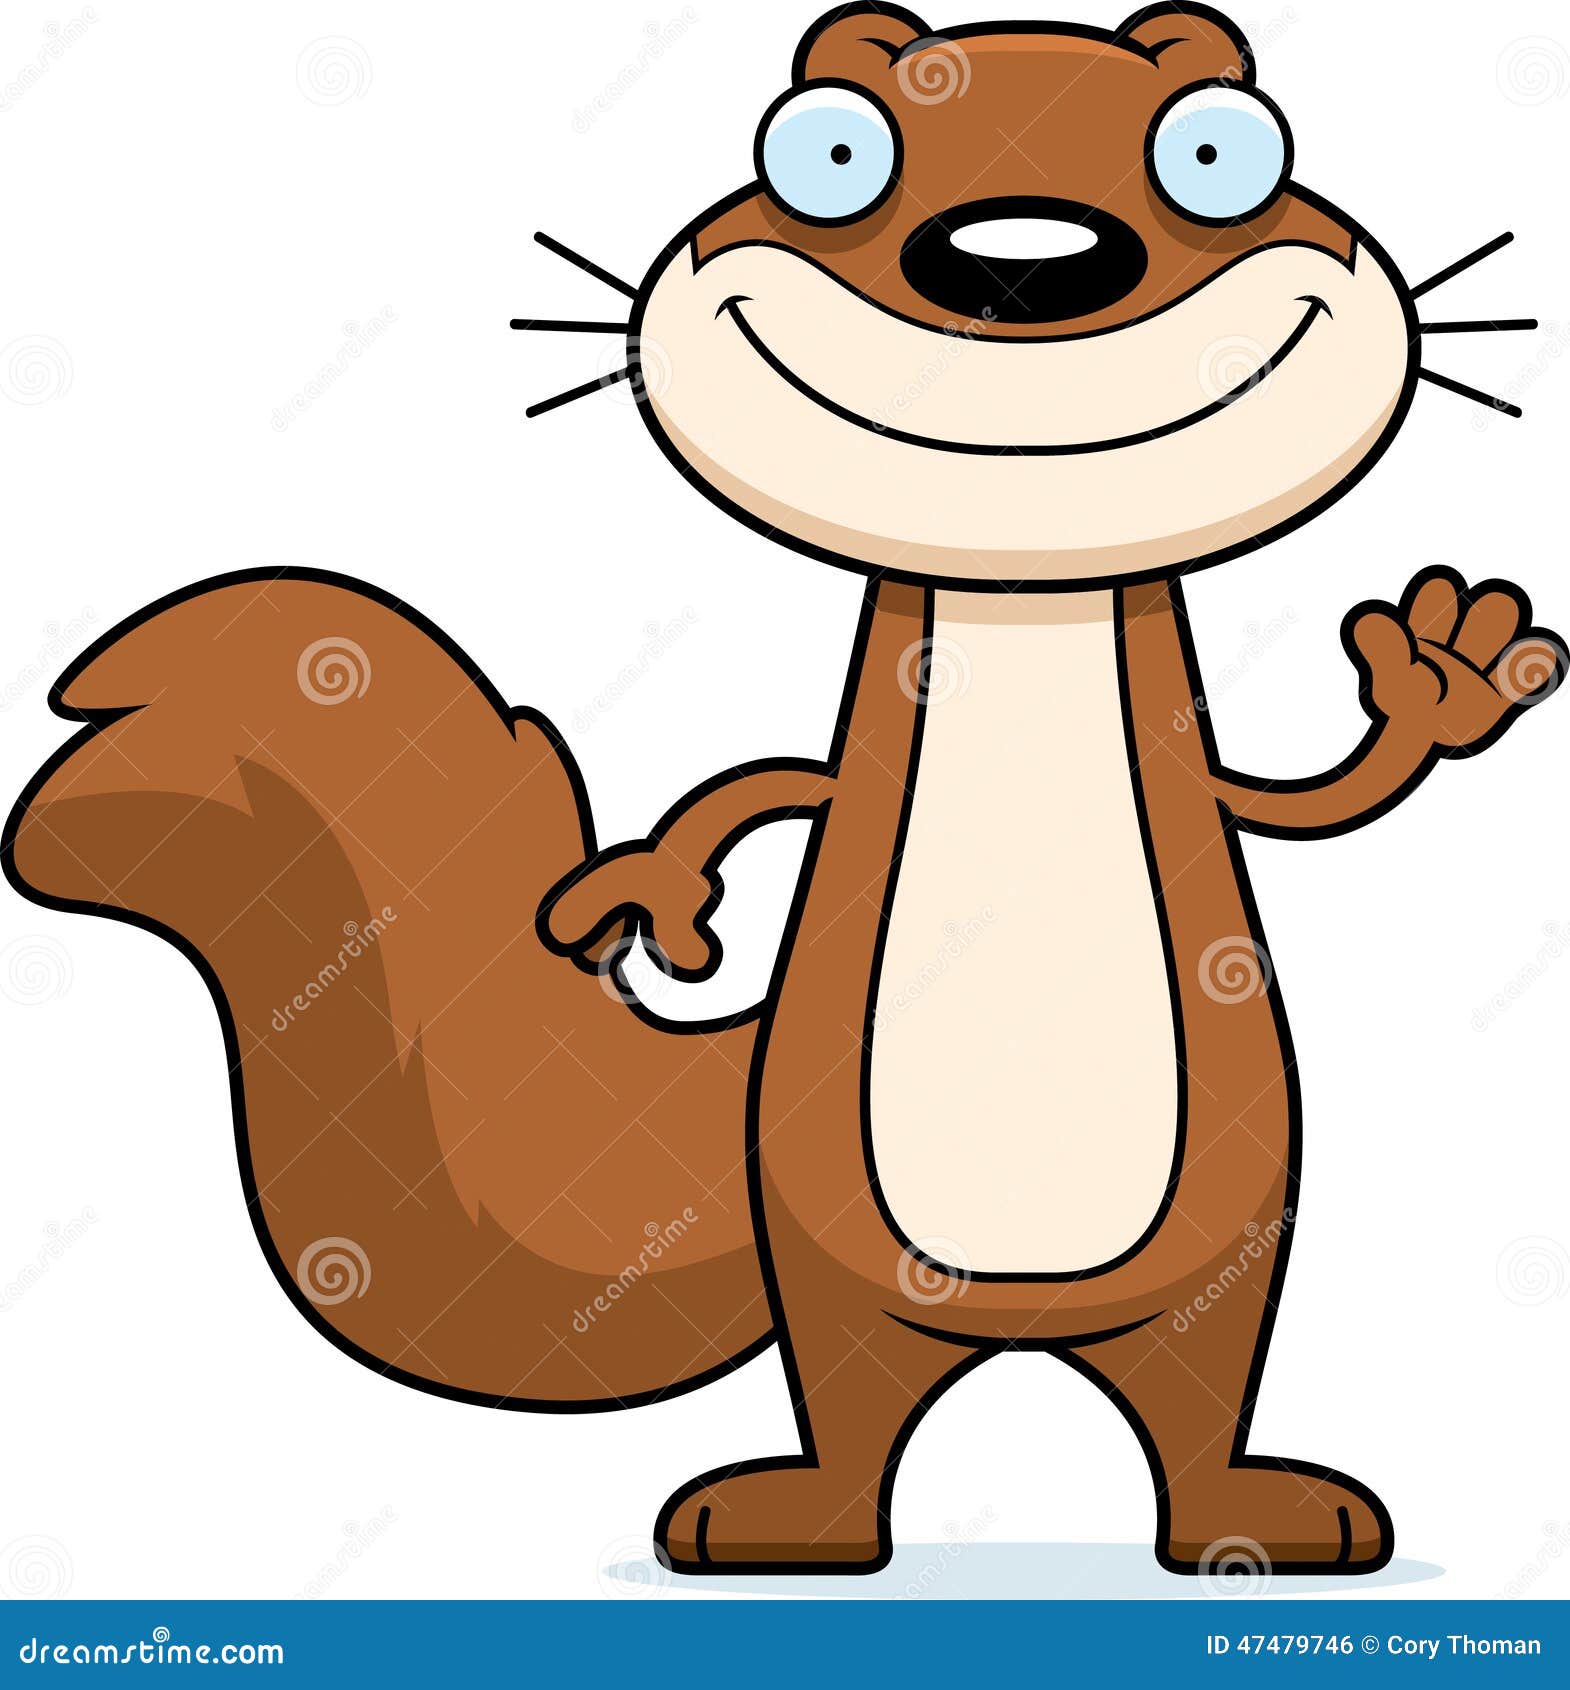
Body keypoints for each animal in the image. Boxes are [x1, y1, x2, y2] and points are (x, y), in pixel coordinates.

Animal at [6, 4, 1560, 1580]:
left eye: (1218, 154)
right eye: (825, 153)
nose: (1020, 260)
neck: (1018, 597)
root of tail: (1018, 1331)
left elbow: (1303, 799)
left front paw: (1445, 670)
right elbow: (764, 789)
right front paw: (647, 895)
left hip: (1222, 1241)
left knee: (1195, 1383)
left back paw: (1244, 1516)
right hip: (834, 1261)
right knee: (856, 1401)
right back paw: (799, 1524)